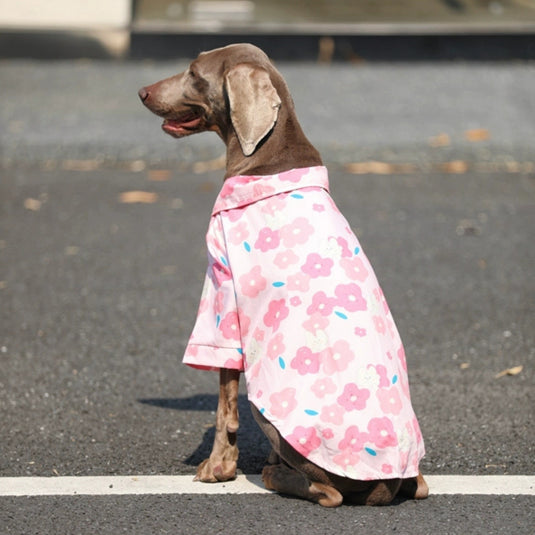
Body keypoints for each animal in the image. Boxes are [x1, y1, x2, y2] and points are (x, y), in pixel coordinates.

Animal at [139, 43, 432, 506]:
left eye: (194, 73)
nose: (142, 92)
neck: (271, 157)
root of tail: (384, 484)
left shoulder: (221, 290)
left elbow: (224, 403)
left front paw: (217, 468)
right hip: (413, 479)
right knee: (419, 486)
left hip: (272, 414)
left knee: (327, 492)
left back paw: (276, 474)